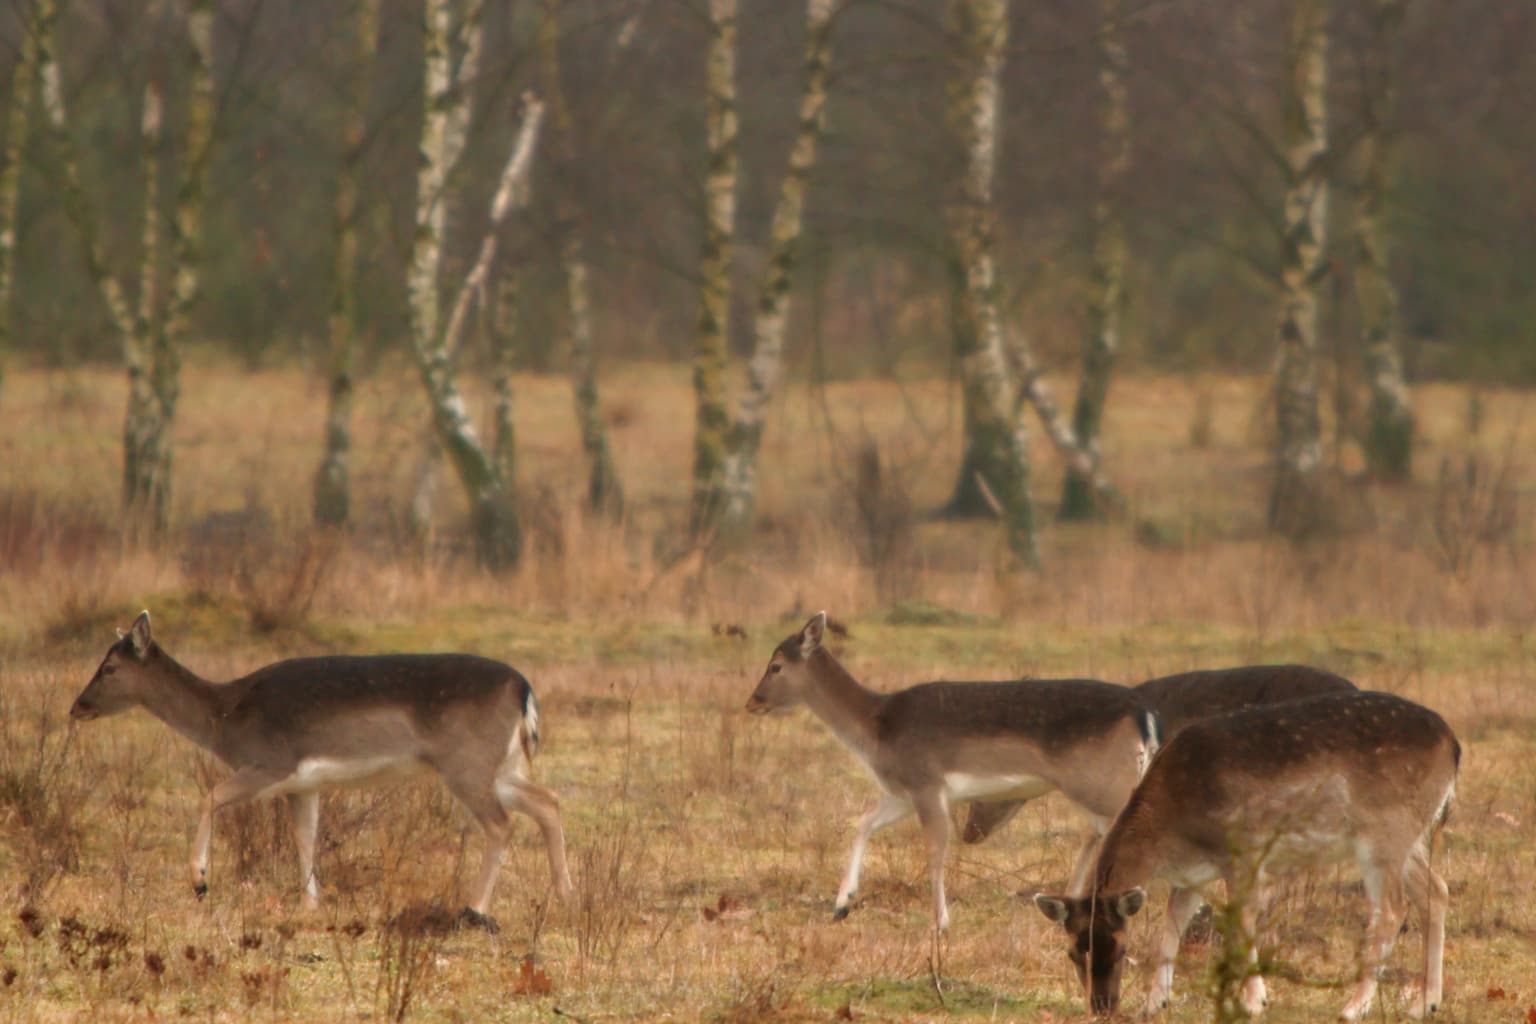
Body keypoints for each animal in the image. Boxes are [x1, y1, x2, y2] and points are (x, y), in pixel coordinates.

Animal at [70, 611, 573, 932]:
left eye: (109, 667)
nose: (77, 707)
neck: (225, 717)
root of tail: (523, 688)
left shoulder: (271, 760)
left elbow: (210, 794)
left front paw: (200, 880)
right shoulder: (303, 785)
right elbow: (305, 837)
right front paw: (311, 903)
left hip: (466, 762)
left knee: (503, 824)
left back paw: (475, 908)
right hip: (499, 766)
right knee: (548, 801)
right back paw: (565, 894)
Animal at [745, 612, 1159, 932]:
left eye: (776, 666)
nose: (753, 702)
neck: (875, 731)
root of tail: (1143, 715)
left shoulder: (926, 781)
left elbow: (935, 849)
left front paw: (940, 923)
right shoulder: (902, 791)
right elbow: (863, 823)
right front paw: (841, 905)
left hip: (1103, 780)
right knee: (1105, 832)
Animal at [1033, 690, 1458, 1020]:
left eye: (1122, 948)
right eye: (1073, 952)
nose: (1102, 1007)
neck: (1174, 827)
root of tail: (1454, 746)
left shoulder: (1244, 850)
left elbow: (1242, 923)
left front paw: (1255, 1001)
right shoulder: (1192, 874)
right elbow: (1174, 923)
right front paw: (1155, 1003)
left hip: (1384, 832)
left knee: (1391, 909)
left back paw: (1354, 1007)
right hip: (1411, 835)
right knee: (1436, 890)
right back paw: (1425, 1004)